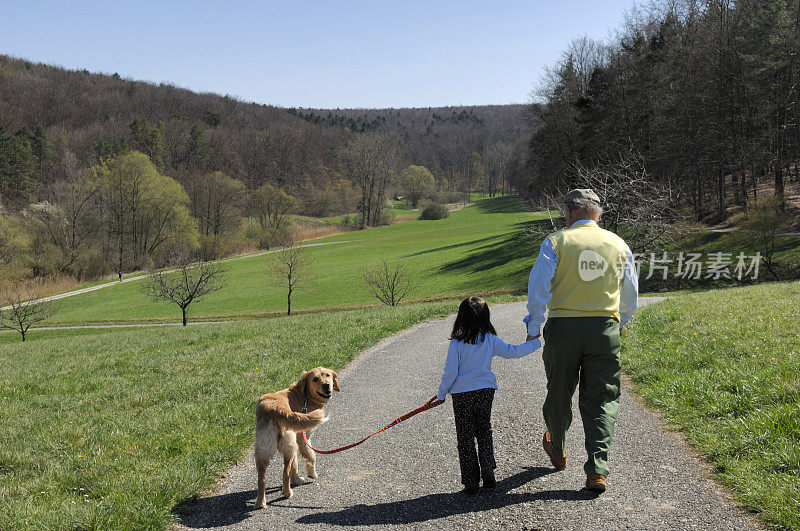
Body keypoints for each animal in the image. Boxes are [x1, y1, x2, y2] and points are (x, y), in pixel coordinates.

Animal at [255, 368, 340, 504]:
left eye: (327, 375)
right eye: (315, 379)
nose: (326, 385)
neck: (305, 396)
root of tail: (274, 408)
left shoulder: (295, 441)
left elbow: (295, 464)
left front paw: (297, 479)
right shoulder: (303, 438)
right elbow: (312, 456)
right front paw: (312, 474)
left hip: (264, 449)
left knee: (261, 478)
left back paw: (260, 503)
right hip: (288, 446)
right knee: (285, 472)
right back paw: (287, 493)